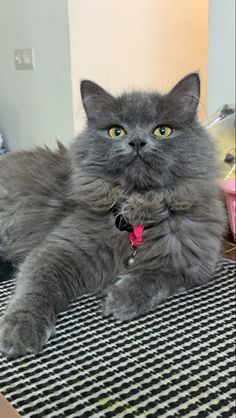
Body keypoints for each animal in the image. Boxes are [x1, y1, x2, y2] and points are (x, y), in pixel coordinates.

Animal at [0, 74, 225, 356]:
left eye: (162, 130)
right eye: (116, 131)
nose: (137, 142)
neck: (139, 211)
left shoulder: (192, 266)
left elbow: (155, 277)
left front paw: (121, 298)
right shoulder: (56, 251)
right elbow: (36, 288)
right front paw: (21, 329)